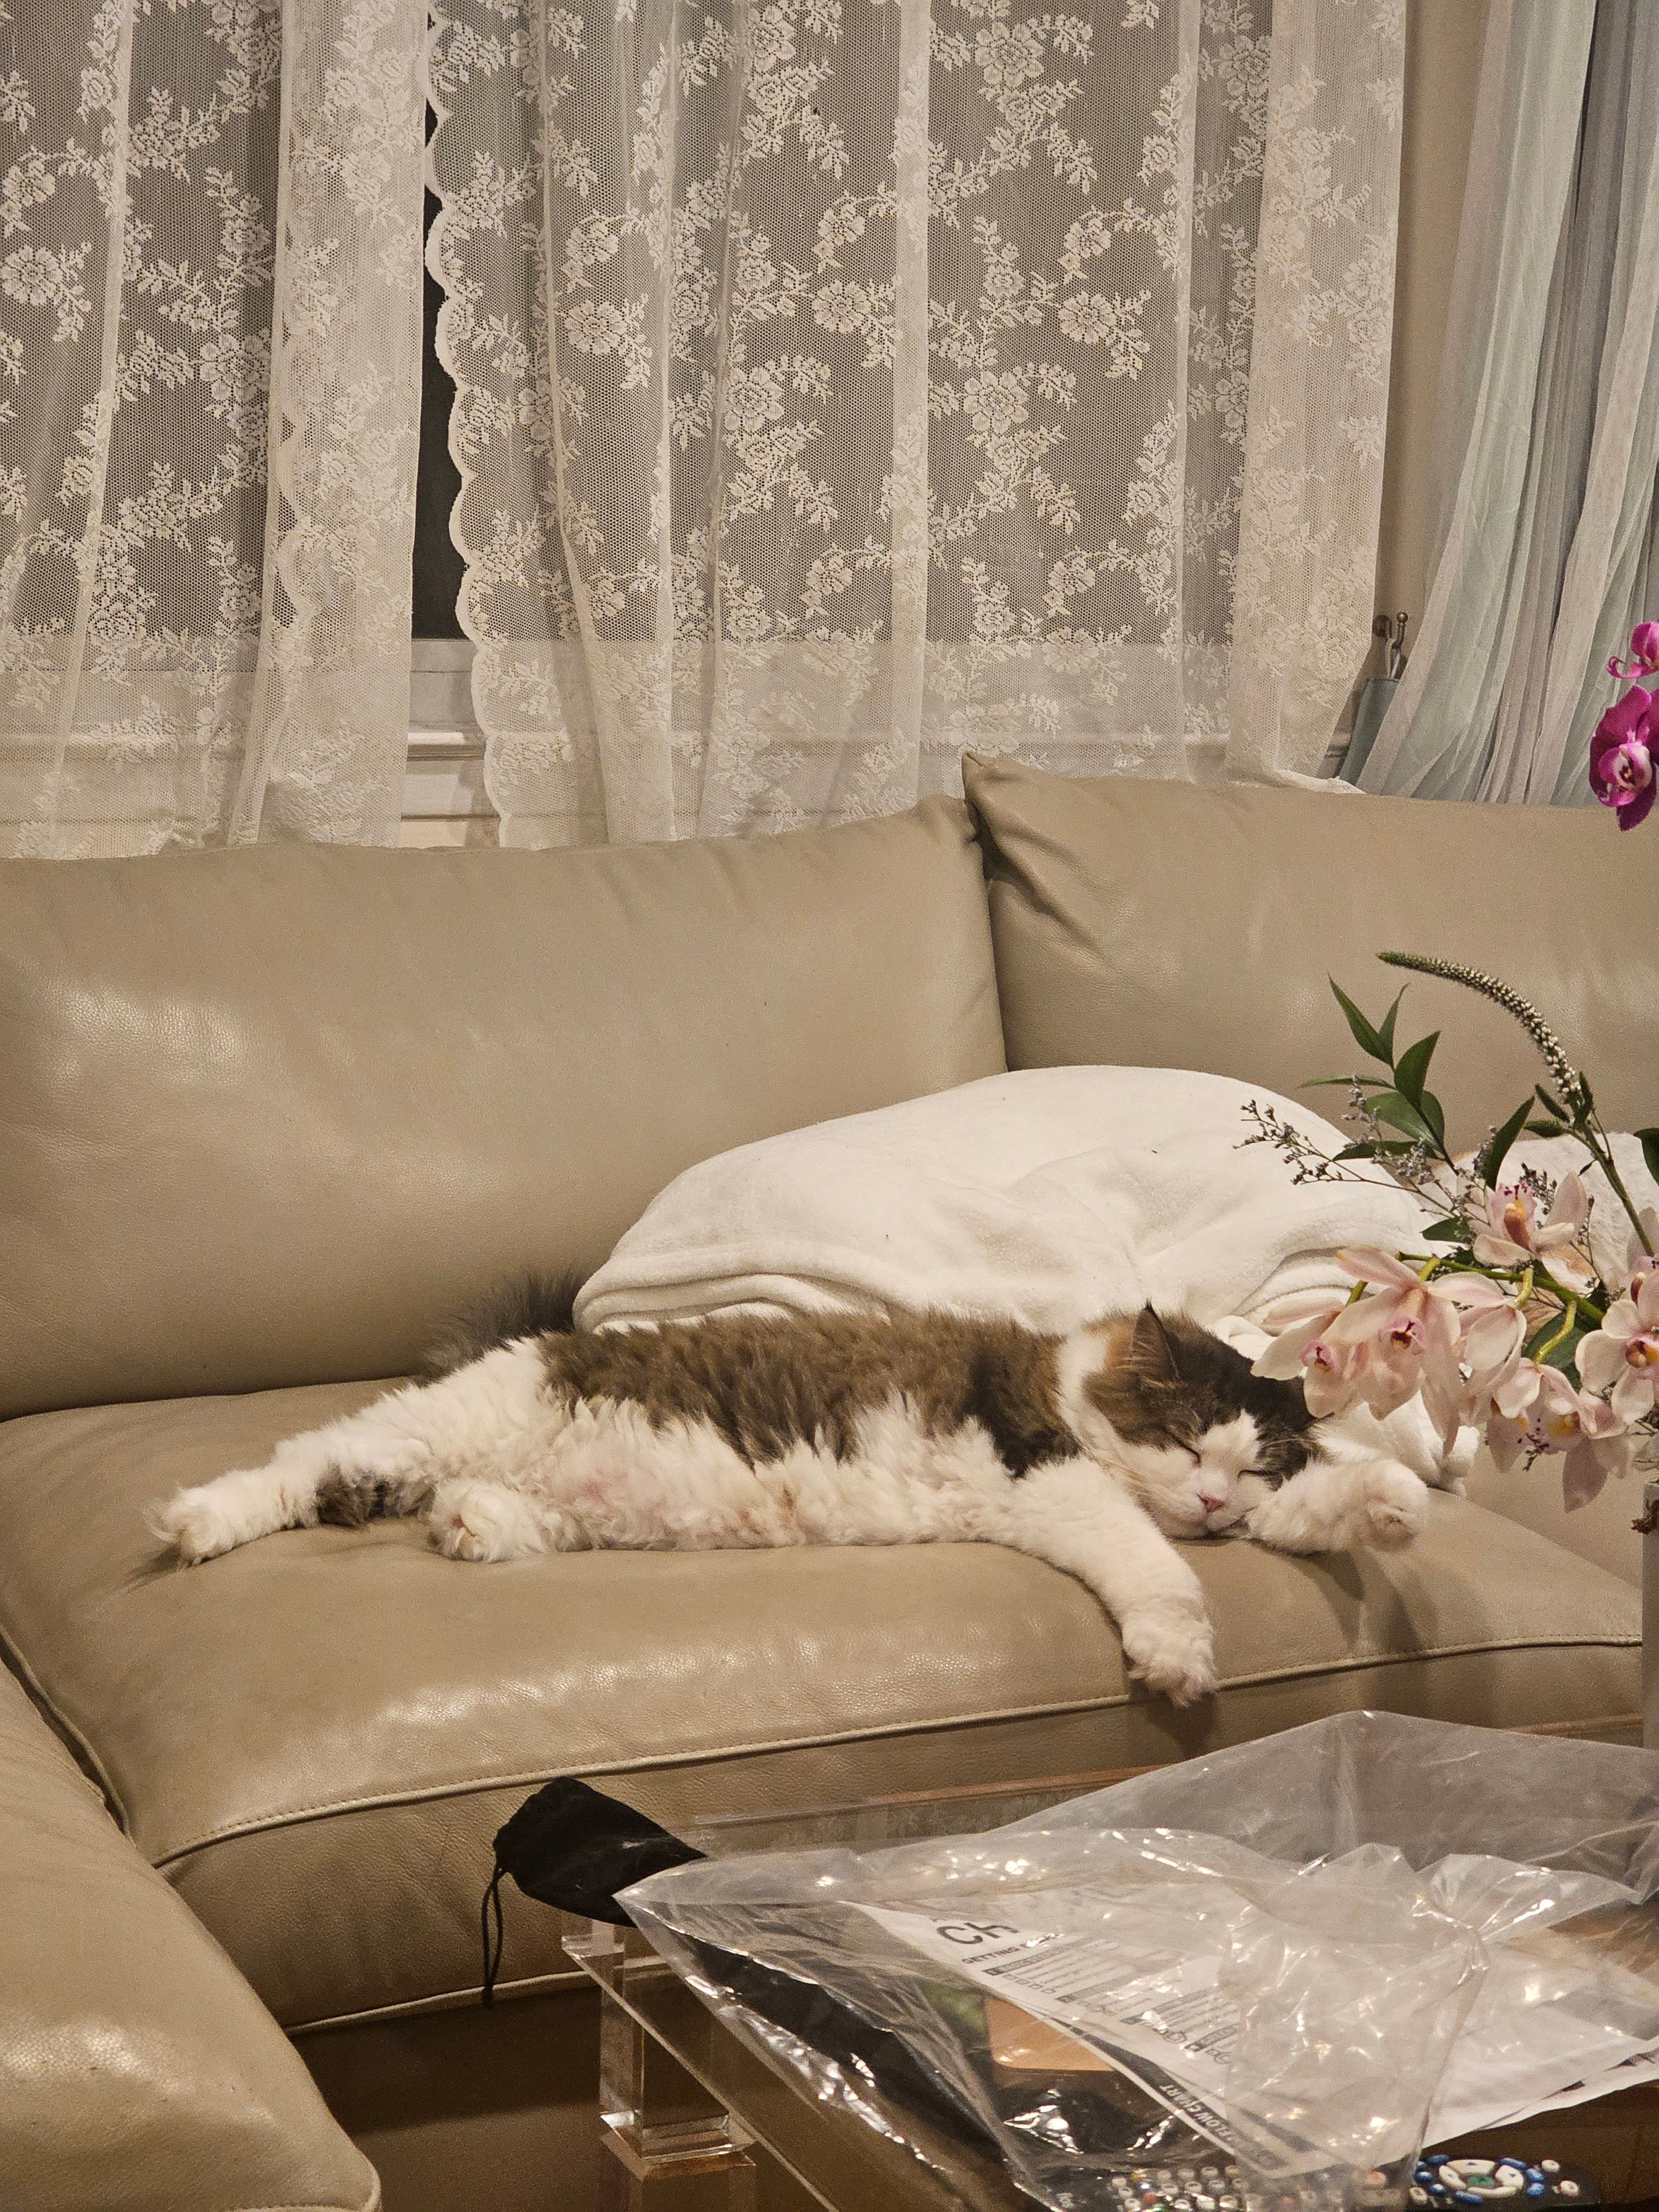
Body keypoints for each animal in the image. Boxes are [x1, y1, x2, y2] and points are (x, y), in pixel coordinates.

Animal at [153, 1284, 1430, 1704]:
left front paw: (1397, 1500)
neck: (1072, 1390)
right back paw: (191, 1524)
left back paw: (473, 1526)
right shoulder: (1059, 1482)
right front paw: (1178, 1656)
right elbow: (1158, 1573)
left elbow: (1324, 1507)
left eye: (1251, 1463)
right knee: (293, 1464)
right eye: (1182, 1439)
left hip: (533, 1495)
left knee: (465, 1507)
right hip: (425, 1429)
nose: (1212, 1503)